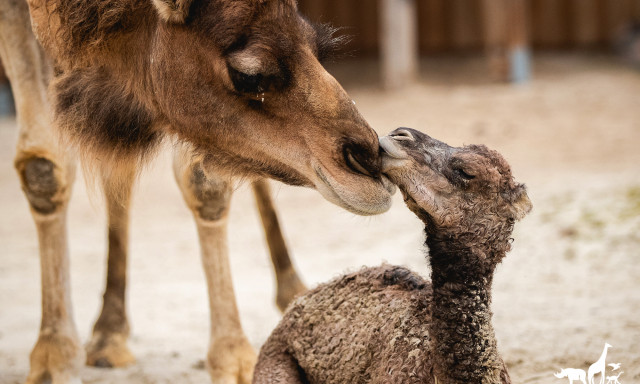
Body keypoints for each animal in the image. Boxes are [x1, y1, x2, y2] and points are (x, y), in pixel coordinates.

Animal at [0, 0, 396, 384]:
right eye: (249, 76)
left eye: (318, 47)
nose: (368, 160)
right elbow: (44, 166)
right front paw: (53, 358)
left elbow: (205, 182)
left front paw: (233, 357)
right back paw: (108, 334)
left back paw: (293, 291)